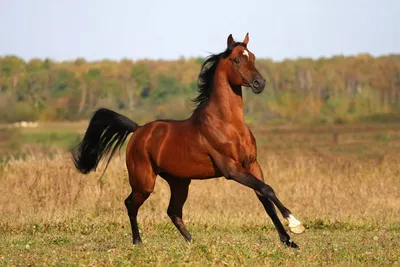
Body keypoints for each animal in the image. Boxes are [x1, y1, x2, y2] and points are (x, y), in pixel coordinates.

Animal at [72, 33, 304, 249]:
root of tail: (138, 130)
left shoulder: (252, 165)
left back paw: (192, 241)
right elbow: (267, 190)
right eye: (237, 59)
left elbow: (265, 197)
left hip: (179, 182)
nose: (259, 83)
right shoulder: (232, 169)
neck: (227, 124)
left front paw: (288, 240)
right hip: (144, 182)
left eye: (253, 57)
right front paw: (296, 224)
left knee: (173, 211)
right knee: (131, 204)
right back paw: (138, 241)